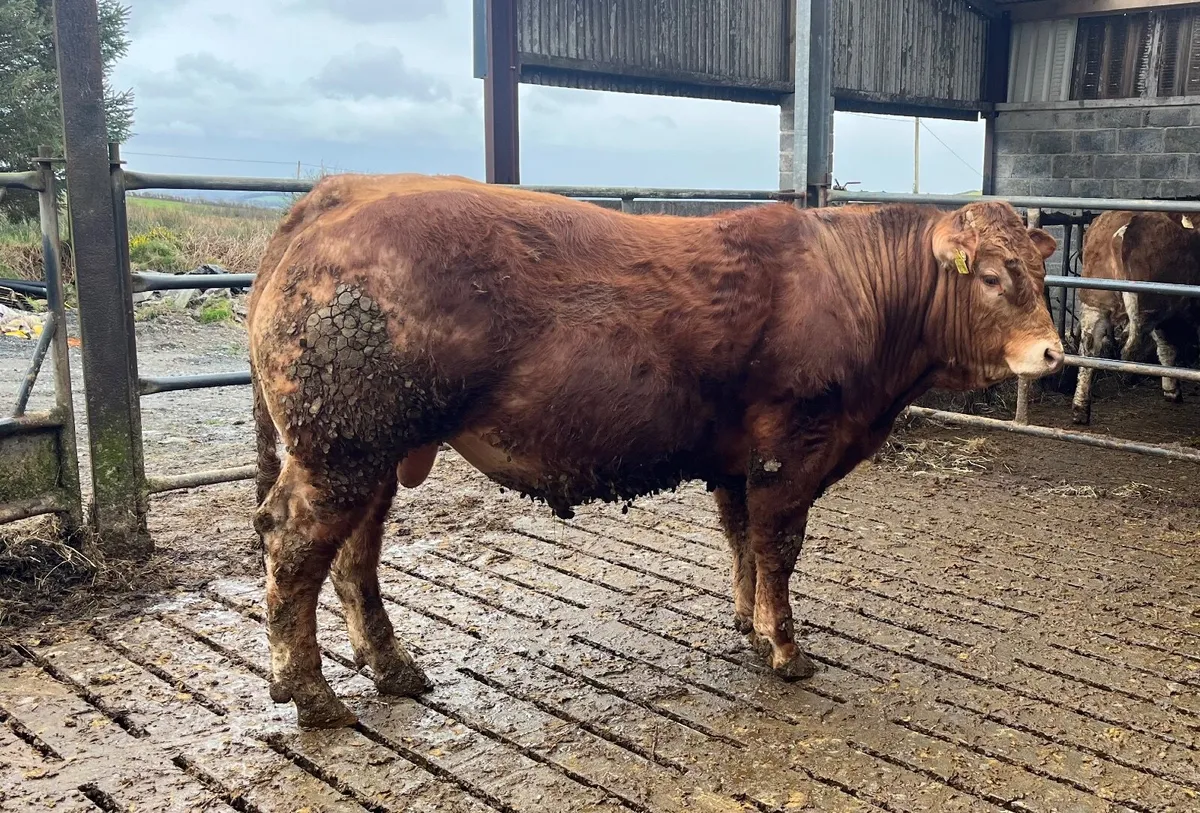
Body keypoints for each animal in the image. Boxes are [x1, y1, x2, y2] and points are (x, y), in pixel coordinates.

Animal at [247, 174, 1062, 728]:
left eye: (1040, 271)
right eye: (994, 276)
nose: (1052, 352)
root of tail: (337, 194)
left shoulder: (737, 459)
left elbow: (741, 540)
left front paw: (747, 624)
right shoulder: (792, 448)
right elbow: (777, 546)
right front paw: (786, 648)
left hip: (375, 451)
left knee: (355, 554)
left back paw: (391, 666)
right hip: (341, 449)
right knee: (292, 544)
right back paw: (311, 692)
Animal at [1072, 210, 1200, 425]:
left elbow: (1166, 348)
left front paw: (1171, 390)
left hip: (1095, 302)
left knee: (1089, 348)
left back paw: (1080, 409)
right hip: (1152, 307)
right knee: (1129, 344)